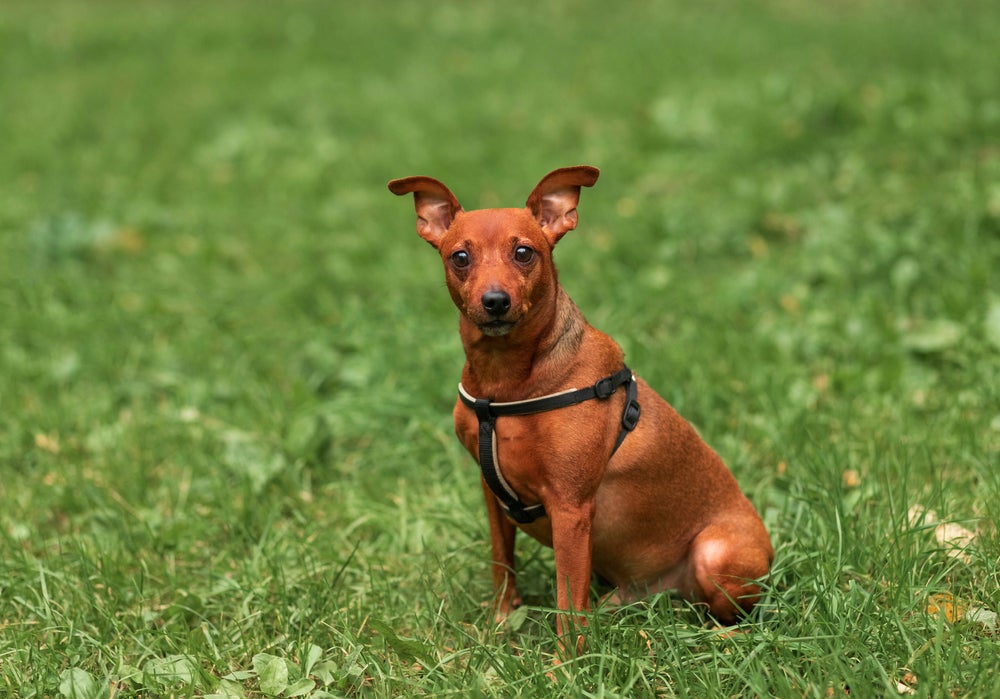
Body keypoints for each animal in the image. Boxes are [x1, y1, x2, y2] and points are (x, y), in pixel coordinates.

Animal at [390, 165, 772, 644]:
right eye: (460, 257)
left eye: (523, 252)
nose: (495, 302)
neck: (506, 383)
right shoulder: (492, 496)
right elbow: (502, 568)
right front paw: (500, 626)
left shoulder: (569, 510)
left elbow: (567, 606)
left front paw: (564, 662)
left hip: (715, 554)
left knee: (739, 616)